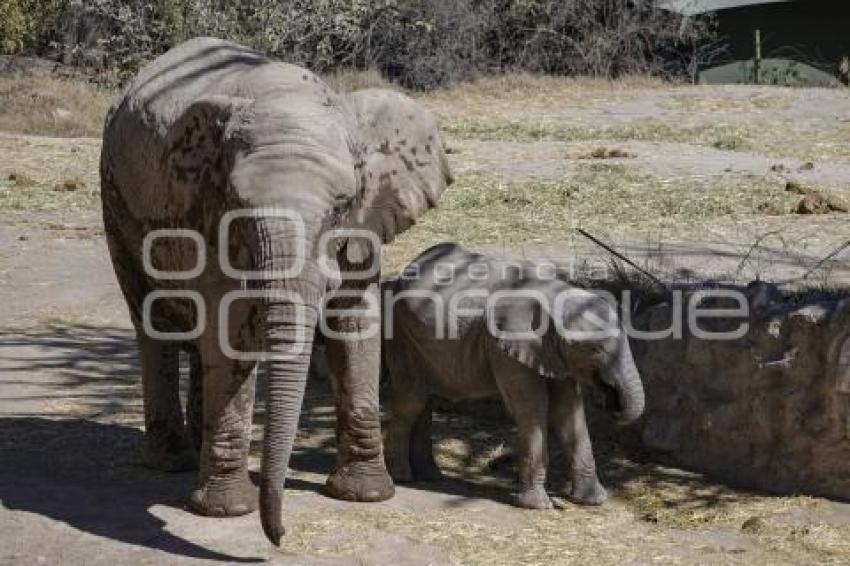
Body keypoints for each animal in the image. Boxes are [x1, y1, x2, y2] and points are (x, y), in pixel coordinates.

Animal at [99, 38, 450, 544]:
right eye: (239, 207)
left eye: (343, 204)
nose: (280, 535)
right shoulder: (207, 214)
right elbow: (228, 331)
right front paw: (226, 511)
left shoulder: (364, 225)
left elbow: (355, 325)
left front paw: (366, 494)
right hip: (115, 201)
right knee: (155, 323)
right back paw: (172, 460)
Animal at [380, 244, 644, 510]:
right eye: (595, 349)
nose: (611, 401)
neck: (554, 297)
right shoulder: (504, 347)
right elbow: (533, 408)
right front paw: (537, 505)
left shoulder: (555, 355)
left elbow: (568, 410)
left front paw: (592, 500)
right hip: (401, 335)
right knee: (413, 400)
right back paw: (403, 477)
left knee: (425, 400)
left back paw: (431, 477)